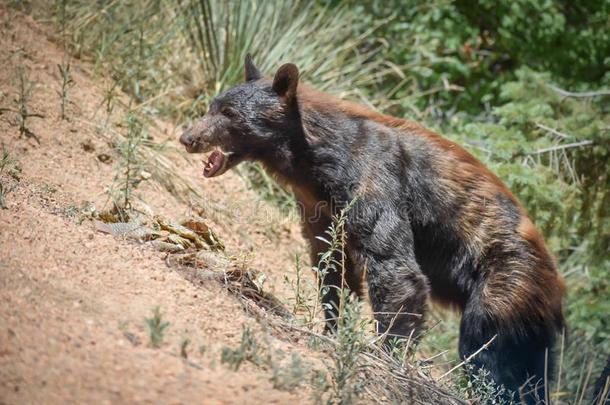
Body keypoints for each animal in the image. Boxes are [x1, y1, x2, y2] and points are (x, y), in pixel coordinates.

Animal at [178, 55, 564, 402]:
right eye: (213, 106)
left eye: (228, 114)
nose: (188, 137)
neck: (314, 160)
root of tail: (557, 284)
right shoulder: (317, 205)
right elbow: (332, 265)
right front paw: (334, 329)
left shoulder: (374, 178)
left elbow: (394, 267)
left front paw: (386, 355)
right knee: (530, 372)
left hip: (506, 282)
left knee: (487, 348)